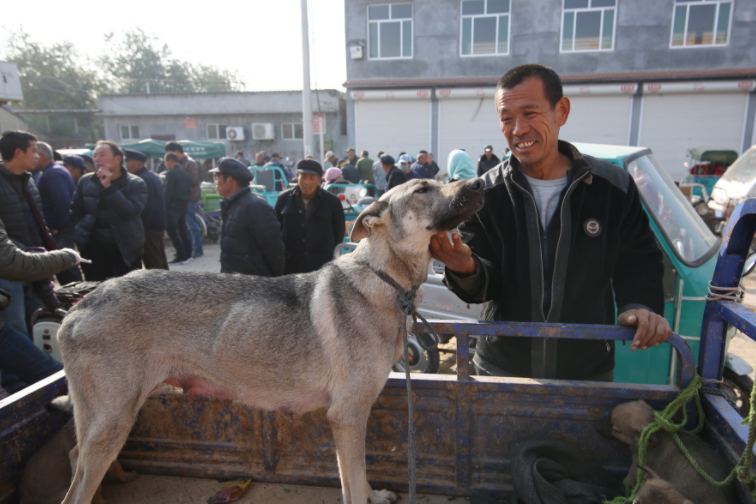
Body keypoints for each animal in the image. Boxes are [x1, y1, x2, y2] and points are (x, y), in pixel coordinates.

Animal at [57, 177, 484, 504]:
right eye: (423, 189)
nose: (480, 182)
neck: (387, 283)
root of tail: (80, 305)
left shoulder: (352, 416)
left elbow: (361, 479)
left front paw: (376, 496)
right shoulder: (346, 416)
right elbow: (353, 484)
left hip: (108, 424)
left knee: (75, 454)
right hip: (113, 423)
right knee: (75, 488)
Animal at [596, 400, 740, 502]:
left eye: (614, 428)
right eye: (608, 418)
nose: (598, 429)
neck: (657, 434)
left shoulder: (636, 465)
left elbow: (627, 480)